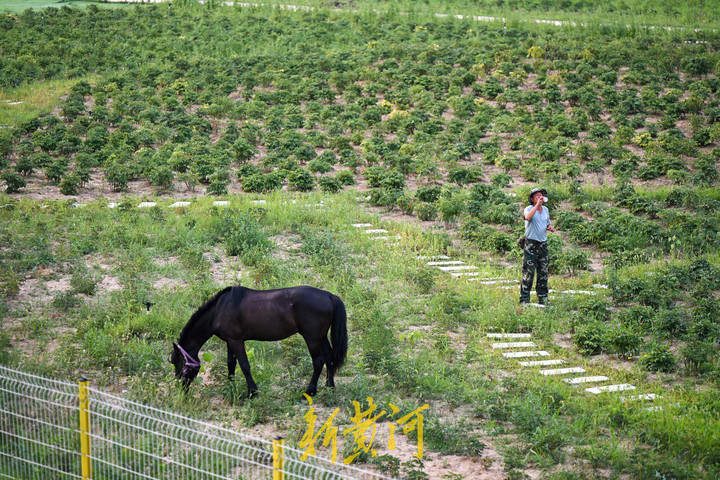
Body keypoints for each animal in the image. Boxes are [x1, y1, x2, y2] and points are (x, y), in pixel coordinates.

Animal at [172, 284, 346, 398]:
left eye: (175, 362)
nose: (181, 388)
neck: (219, 311)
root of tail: (329, 296)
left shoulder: (237, 341)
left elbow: (244, 366)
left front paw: (252, 392)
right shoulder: (230, 341)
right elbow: (231, 363)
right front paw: (230, 387)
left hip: (312, 338)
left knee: (318, 361)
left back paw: (309, 392)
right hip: (321, 337)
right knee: (329, 358)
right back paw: (330, 387)